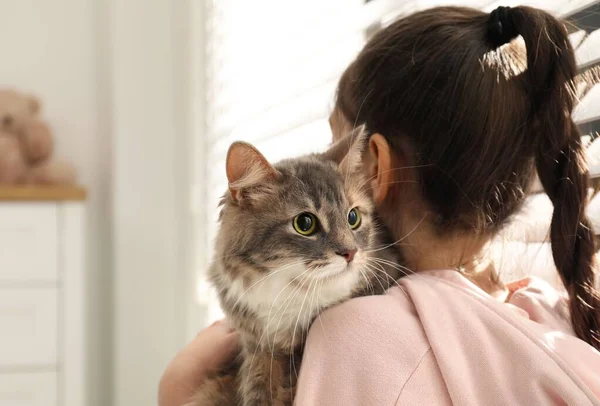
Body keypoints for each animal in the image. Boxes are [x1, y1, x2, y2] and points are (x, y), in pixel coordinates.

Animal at [190, 129, 400, 406]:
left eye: (353, 217)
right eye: (305, 223)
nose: (351, 253)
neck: (292, 296)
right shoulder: (257, 346)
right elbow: (256, 385)